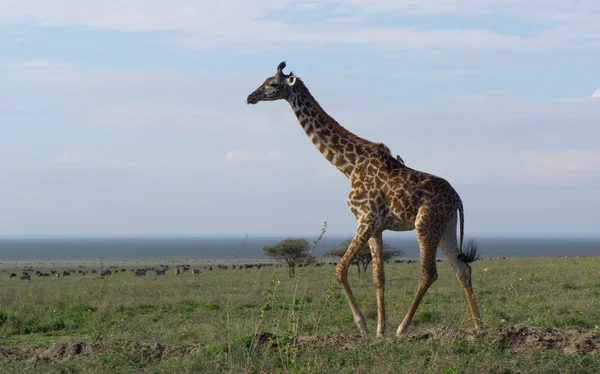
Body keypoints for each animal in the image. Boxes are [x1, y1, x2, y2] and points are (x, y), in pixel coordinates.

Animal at [244, 62, 482, 338]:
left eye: (272, 84)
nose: (250, 97)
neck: (349, 166)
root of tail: (458, 198)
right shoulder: (376, 227)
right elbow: (378, 277)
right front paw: (379, 331)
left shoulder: (364, 219)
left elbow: (340, 269)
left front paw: (363, 326)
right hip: (445, 227)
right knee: (462, 269)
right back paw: (478, 326)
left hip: (425, 224)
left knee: (429, 273)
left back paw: (403, 327)